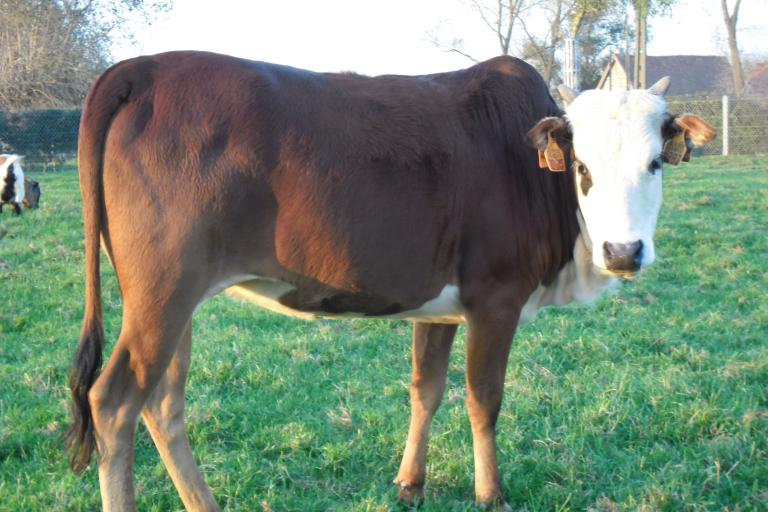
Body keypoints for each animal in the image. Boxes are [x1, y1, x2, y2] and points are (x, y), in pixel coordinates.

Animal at [66, 51, 712, 508]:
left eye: (655, 162)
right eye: (581, 166)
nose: (623, 251)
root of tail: (143, 68)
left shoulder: (441, 305)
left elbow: (426, 390)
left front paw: (410, 483)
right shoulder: (495, 298)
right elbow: (484, 398)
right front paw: (491, 494)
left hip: (173, 298)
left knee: (163, 402)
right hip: (164, 290)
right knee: (115, 402)